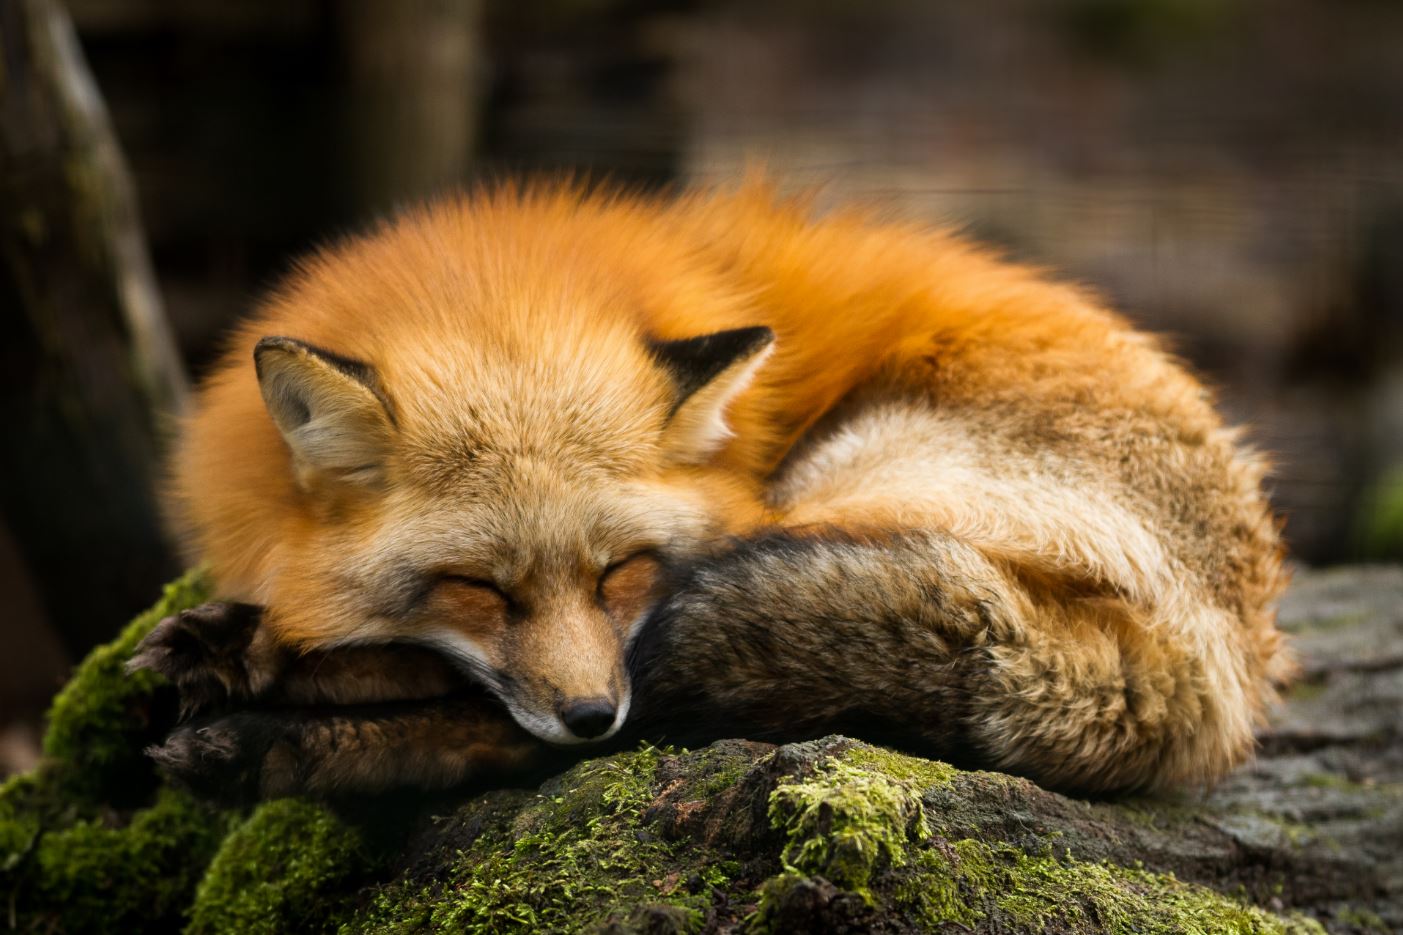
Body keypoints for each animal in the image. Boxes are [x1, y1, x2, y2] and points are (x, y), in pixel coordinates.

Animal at [129, 178, 1291, 800]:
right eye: (478, 588)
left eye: (620, 571)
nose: (588, 713)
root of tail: (1226, 666)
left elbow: (469, 686)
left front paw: (265, 658)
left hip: (843, 491)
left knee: (572, 720)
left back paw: (268, 728)